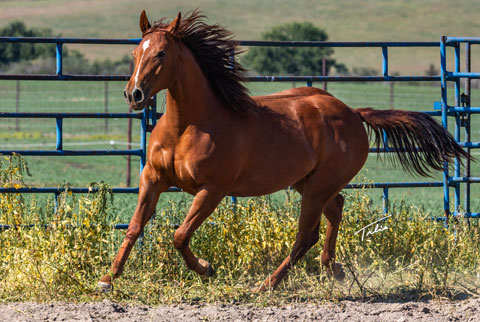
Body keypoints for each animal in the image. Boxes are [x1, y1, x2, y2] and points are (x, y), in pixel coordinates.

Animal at [97, 10, 468, 292]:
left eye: (160, 54)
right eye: (135, 53)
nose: (134, 95)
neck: (188, 125)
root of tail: (352, 113)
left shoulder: (212, 190)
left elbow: (179, 235)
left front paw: (206, 268)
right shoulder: (153, 178)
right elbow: (135, 227)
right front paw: (107, 279)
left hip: (316, 187)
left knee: (306, 235)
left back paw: (268, 283)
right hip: (308, 183)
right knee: (335, 211)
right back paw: (332, 269)